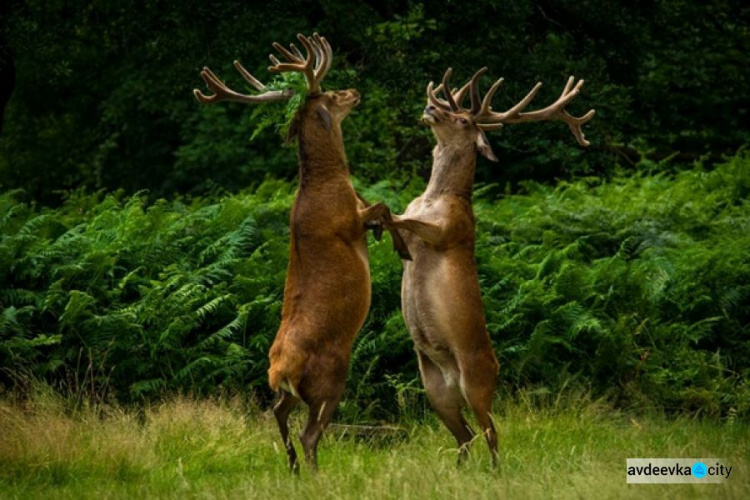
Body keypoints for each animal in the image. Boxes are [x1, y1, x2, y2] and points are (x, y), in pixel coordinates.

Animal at [191, 33, 408, 470]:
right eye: (331, 94)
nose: (355, 91)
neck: (329, 181)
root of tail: (279, 371)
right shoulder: (348, 221)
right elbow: (382, 207)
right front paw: (399, 243)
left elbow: (381, 207)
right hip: (330, 376)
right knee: (311, 433)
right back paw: (314, 471)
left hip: (289, 392)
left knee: (278, 414)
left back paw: (291, 467)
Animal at [384, 66, 596, 464]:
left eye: (463, 119)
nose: (429, 108)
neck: (435, 198)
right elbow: (397, 218)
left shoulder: (451, 229)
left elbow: (401, 218)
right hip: (435, 390)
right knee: (465, 435)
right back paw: (460, 468)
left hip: (477, 382)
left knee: (491, 433)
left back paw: (495, 470)